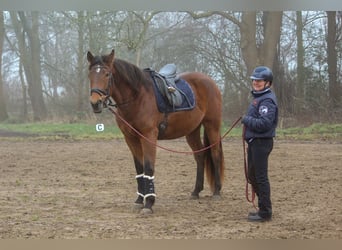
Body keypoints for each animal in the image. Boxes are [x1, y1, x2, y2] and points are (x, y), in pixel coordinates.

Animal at [87, 49, 223, 214]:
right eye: (90, 74)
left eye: (107, 74)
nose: (95, 103)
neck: (137, 97)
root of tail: (210, 81)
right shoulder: (131, 138)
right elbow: (139, 168)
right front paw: (140, 199)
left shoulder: (149, 136)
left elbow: (149, 167)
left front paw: (149, 203)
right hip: (192, 130)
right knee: (200, 155)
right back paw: (196, 191)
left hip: (212, 125)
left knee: (215, 154)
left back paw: (217, 191)